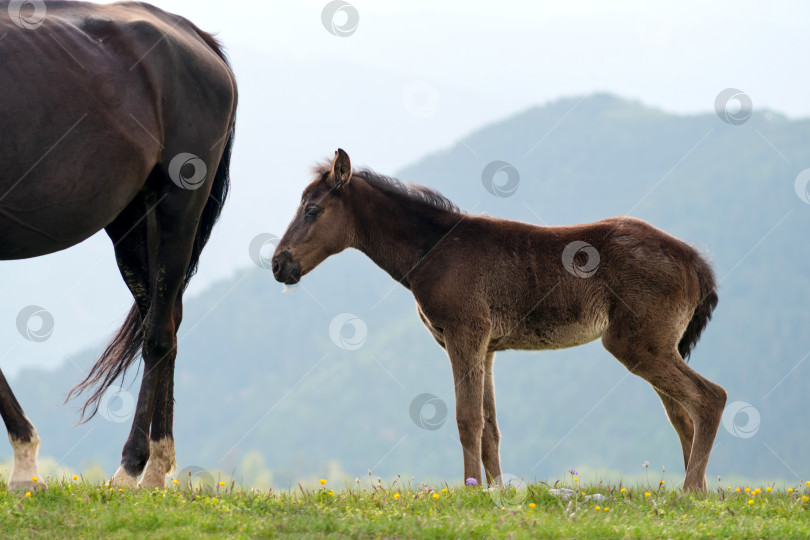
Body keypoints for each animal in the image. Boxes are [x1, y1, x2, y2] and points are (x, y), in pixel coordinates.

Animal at [1, 1, 237, 490]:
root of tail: (197, 38)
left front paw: (25, 464)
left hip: (178, 207)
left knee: (158, 334)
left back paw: (134, 467)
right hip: (131, 221)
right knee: (166, 318)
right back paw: (157, 467)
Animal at [274, 149, 724, 494]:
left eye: (312, 210)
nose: (279, 264)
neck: (432, 251)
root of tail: (695, 262)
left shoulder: (464, 335)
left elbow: (466, 419)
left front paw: (471, 490)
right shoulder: (487, 348)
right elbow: (490, 426)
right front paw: (496, 491)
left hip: (636, 344)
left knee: (709, 398)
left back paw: (690, 491)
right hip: (654, 345)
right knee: (682, 414)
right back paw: (699, 490)